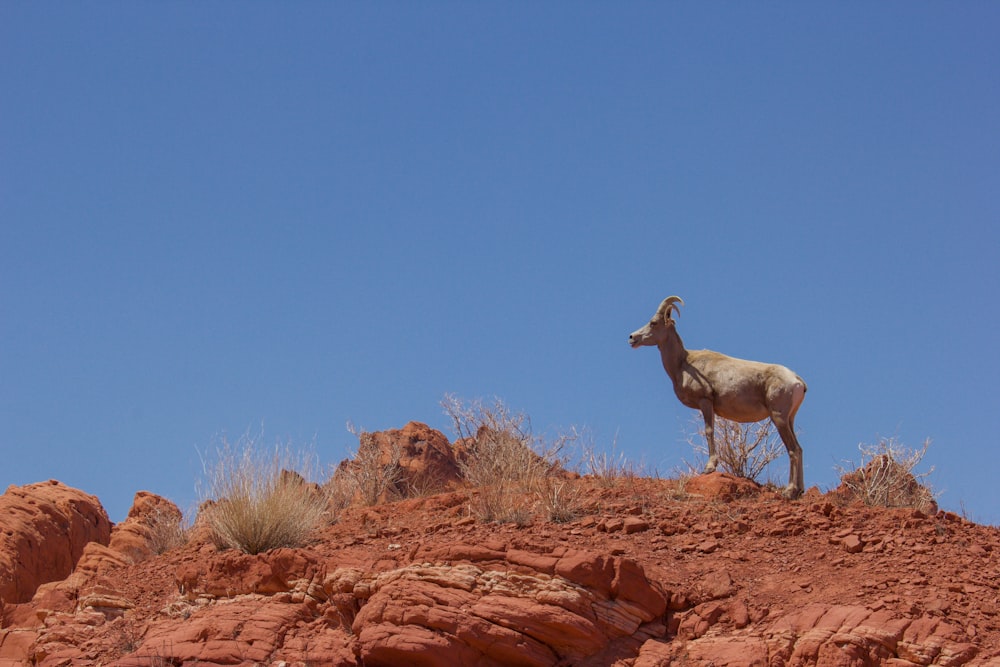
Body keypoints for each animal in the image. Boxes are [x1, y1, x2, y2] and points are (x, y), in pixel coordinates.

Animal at [628, 298, 808, 500]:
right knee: (799, 449)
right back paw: (799, 490)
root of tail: (797, 381)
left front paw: (709, 468)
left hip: (779, 418)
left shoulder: (706, 402)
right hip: (789, 419)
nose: (632, 337)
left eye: (653, 323)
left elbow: (709, 431)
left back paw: (789, 491)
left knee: (793, 449)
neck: (683, 363)